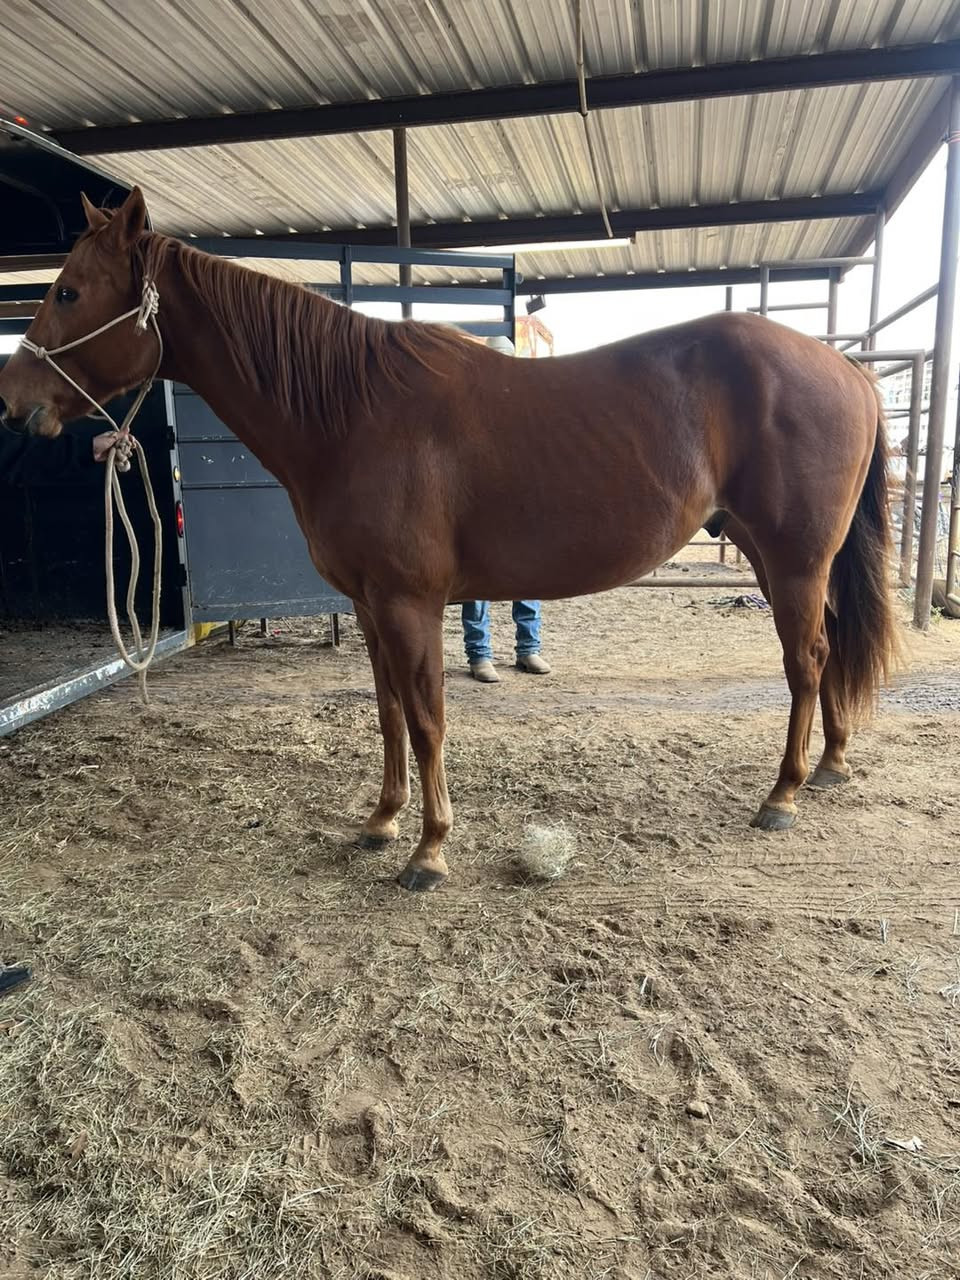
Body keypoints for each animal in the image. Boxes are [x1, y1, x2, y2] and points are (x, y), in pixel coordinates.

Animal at [0, 188, 899, 891]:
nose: (13, 397)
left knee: (806, 662)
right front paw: (383, 820)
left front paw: (429, 851)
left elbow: (429, 717)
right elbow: (391, 714)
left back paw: (782, 795)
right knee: (826, 654)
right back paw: (831, 765)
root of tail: (849, 369)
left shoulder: (409, 603)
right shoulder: (369, 607)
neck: (351, 413)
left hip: (794, 561)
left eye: (70, 291)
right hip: (781, 560)